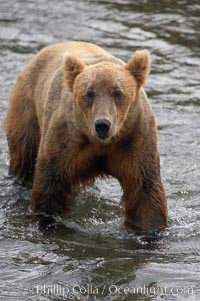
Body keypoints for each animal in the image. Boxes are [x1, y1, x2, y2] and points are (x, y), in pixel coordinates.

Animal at [3, 40, 168, 232]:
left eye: (118, 93)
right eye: (89, 93)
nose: (102, 125)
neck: (103, 143)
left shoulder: (135, 138)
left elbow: (144, 189)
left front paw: (150, 229)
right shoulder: (66, 140)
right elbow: (51, 184)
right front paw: (47, 220)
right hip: (28, 109)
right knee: (25, 156)